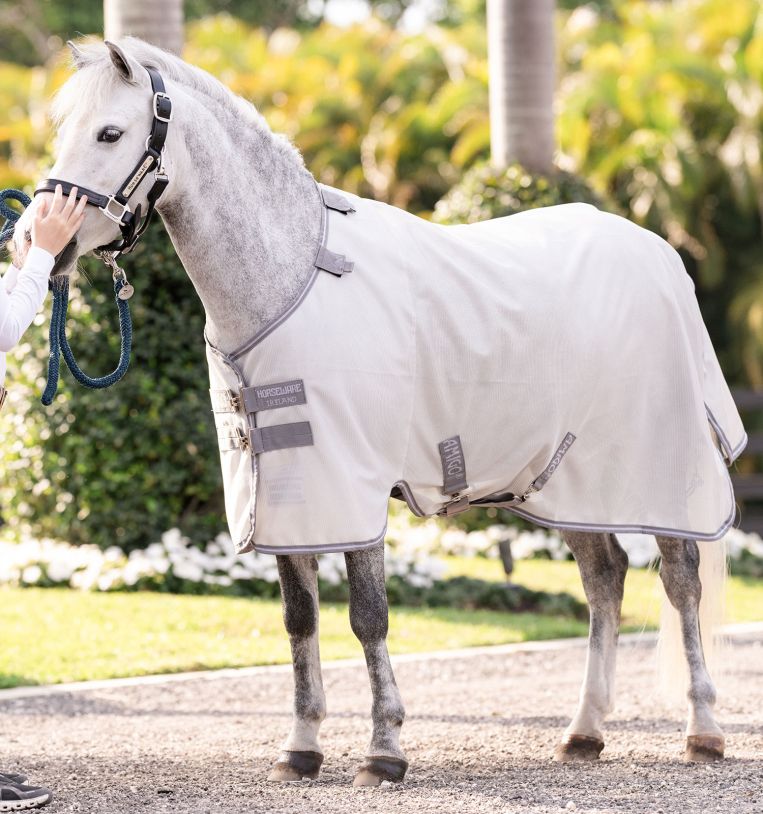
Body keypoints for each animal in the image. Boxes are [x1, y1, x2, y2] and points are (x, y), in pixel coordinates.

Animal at [12, 37, 742, 785]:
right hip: (567, 485)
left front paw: (384, 750)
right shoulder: (289, 489)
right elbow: (300, 619)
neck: (293, 277)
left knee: (680, 584)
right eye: (64, 129)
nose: (40, 238)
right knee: (604, 579)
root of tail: (660, 254)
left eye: (110, 132)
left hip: (656, 479)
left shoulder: (353, 483)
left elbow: (367, 617)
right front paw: (301, 748)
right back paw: (583, 732)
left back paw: (703, 730)